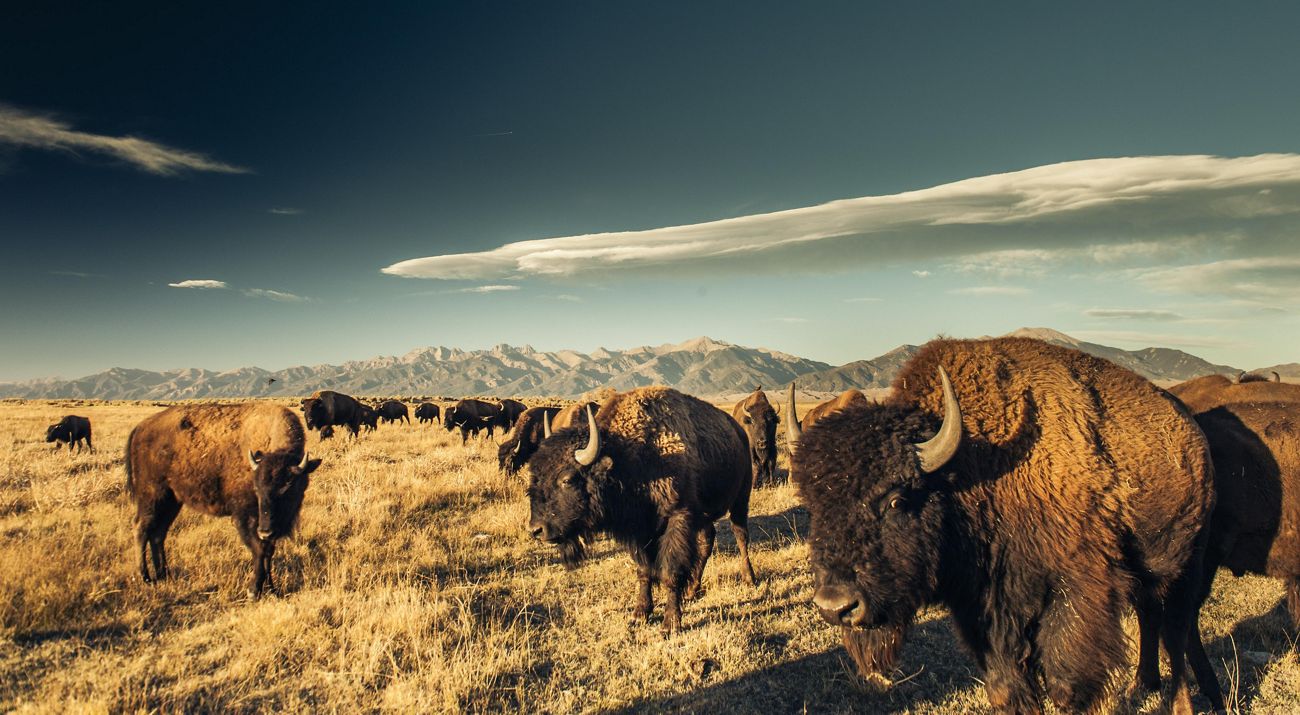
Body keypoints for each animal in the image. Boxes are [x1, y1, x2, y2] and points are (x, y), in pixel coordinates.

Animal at [126, 403, 321, 597]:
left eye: (289, 488)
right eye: (256, 489)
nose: (266, 531)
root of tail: (140, 428)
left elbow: (268, 551)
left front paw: (272, 589)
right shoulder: (246, 517)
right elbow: (260, 549)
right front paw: (253, 591)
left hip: (172, 501)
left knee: (158, 533)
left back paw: (164, 575)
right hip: (152, 497)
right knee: (141, 528)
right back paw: (144, 577)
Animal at [527, 387, 757, 635]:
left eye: (567, 479)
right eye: (536, 476)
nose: (537, 530)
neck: (630, 456)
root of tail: (739, 432)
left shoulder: (678, 519)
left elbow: (670, 572)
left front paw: (670, 624)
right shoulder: (640, 530)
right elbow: (644, 570)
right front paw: (640, 614)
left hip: (741, 499)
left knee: (741, 535)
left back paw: (749, 578)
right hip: (704, 516)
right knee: (707, 540)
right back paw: (692, 591)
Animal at [790, 338, 1215, 714]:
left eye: (896, 499)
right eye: (814, 504)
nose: (837, 606)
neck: (972, 471)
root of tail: (1194, 435)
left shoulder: (1077, 597)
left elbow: (1067, 687)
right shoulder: (985, 612)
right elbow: (1009, 688)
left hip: (1187, 566)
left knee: (1176, 634)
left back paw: (1181, 702)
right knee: (1151, 617)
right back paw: (1143, 685)